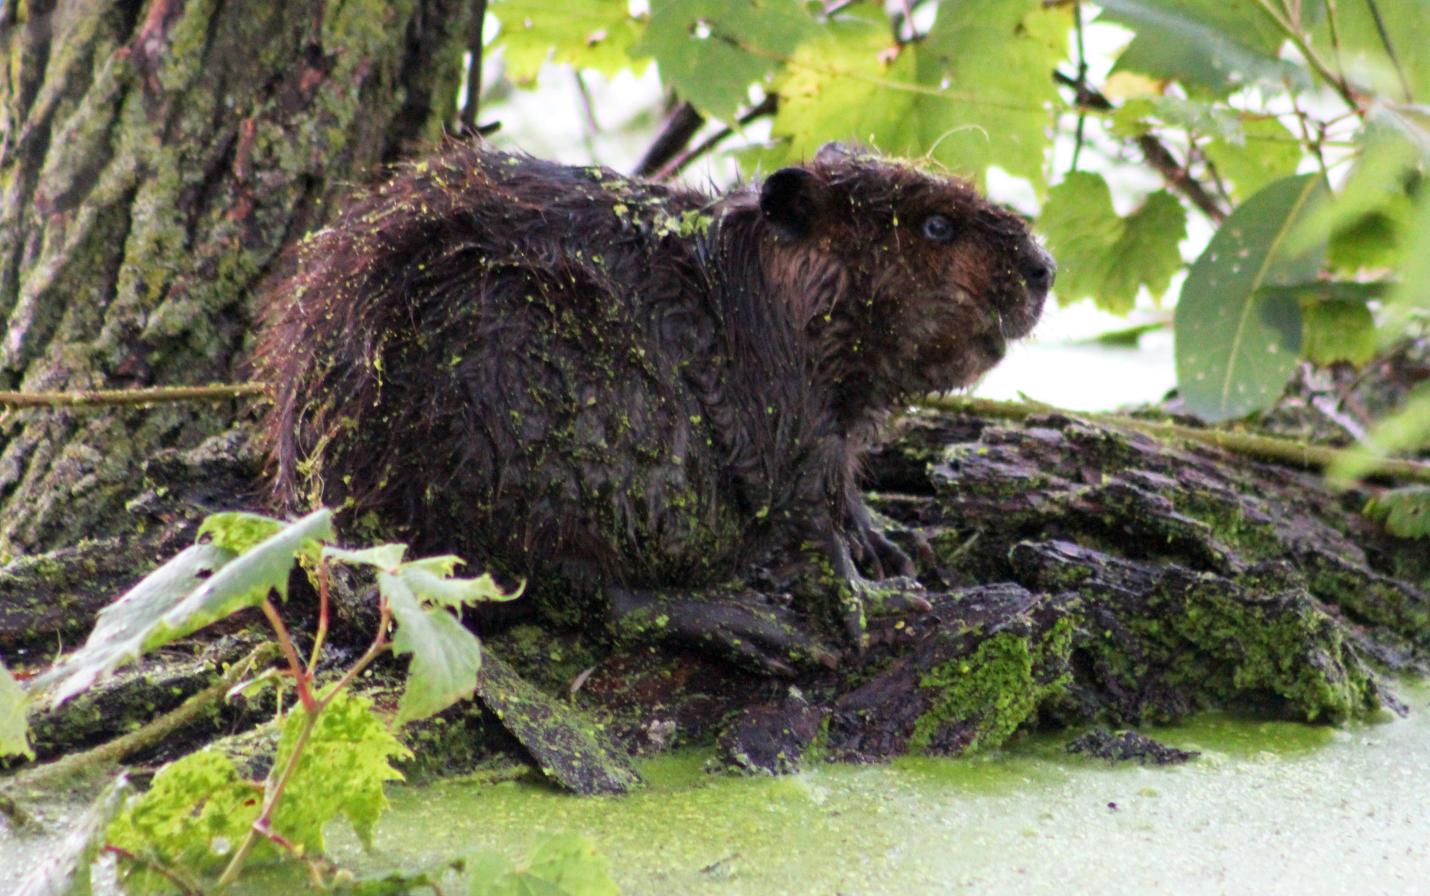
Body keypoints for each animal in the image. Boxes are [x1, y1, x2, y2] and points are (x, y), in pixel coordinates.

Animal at [260, 142, 1052, 665]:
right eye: (937, 226)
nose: (1044, 268)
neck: (749, 292)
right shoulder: (779, 403)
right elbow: (803, 499)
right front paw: (874, 596)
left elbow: (842, 487)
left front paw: (890, 538)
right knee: (589, 590)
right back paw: (754, 627)